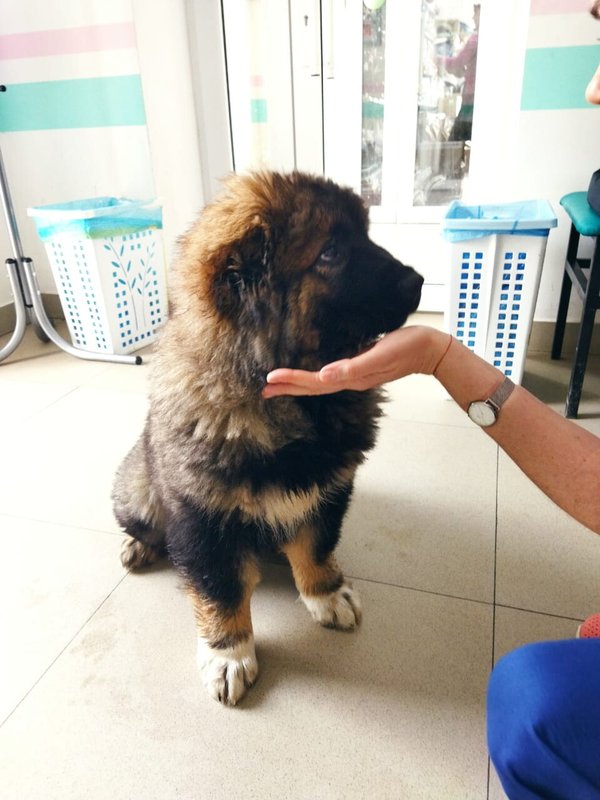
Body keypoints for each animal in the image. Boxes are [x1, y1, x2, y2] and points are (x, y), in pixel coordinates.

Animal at [112, 171, 423, 705]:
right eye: (330, 252)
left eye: (364, 236)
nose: (418, 282)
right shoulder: (202, 515)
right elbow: (219, 588)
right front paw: (229, 654)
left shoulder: (328, 488)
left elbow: (315, 546)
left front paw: (326, 593)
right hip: (135, 485)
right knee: (147, 524)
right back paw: (141, 547)